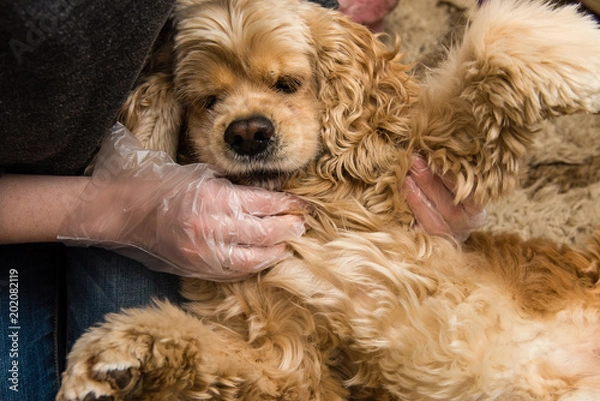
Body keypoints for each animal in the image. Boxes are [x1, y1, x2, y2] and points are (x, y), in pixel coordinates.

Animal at [57, 0, 600, 398]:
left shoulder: (432, 161)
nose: (248, 133)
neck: (305, 197)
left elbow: (499, 34)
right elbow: (224, 357)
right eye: (207, 101)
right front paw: (117, 356)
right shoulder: (294, 362)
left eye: (288, 83)